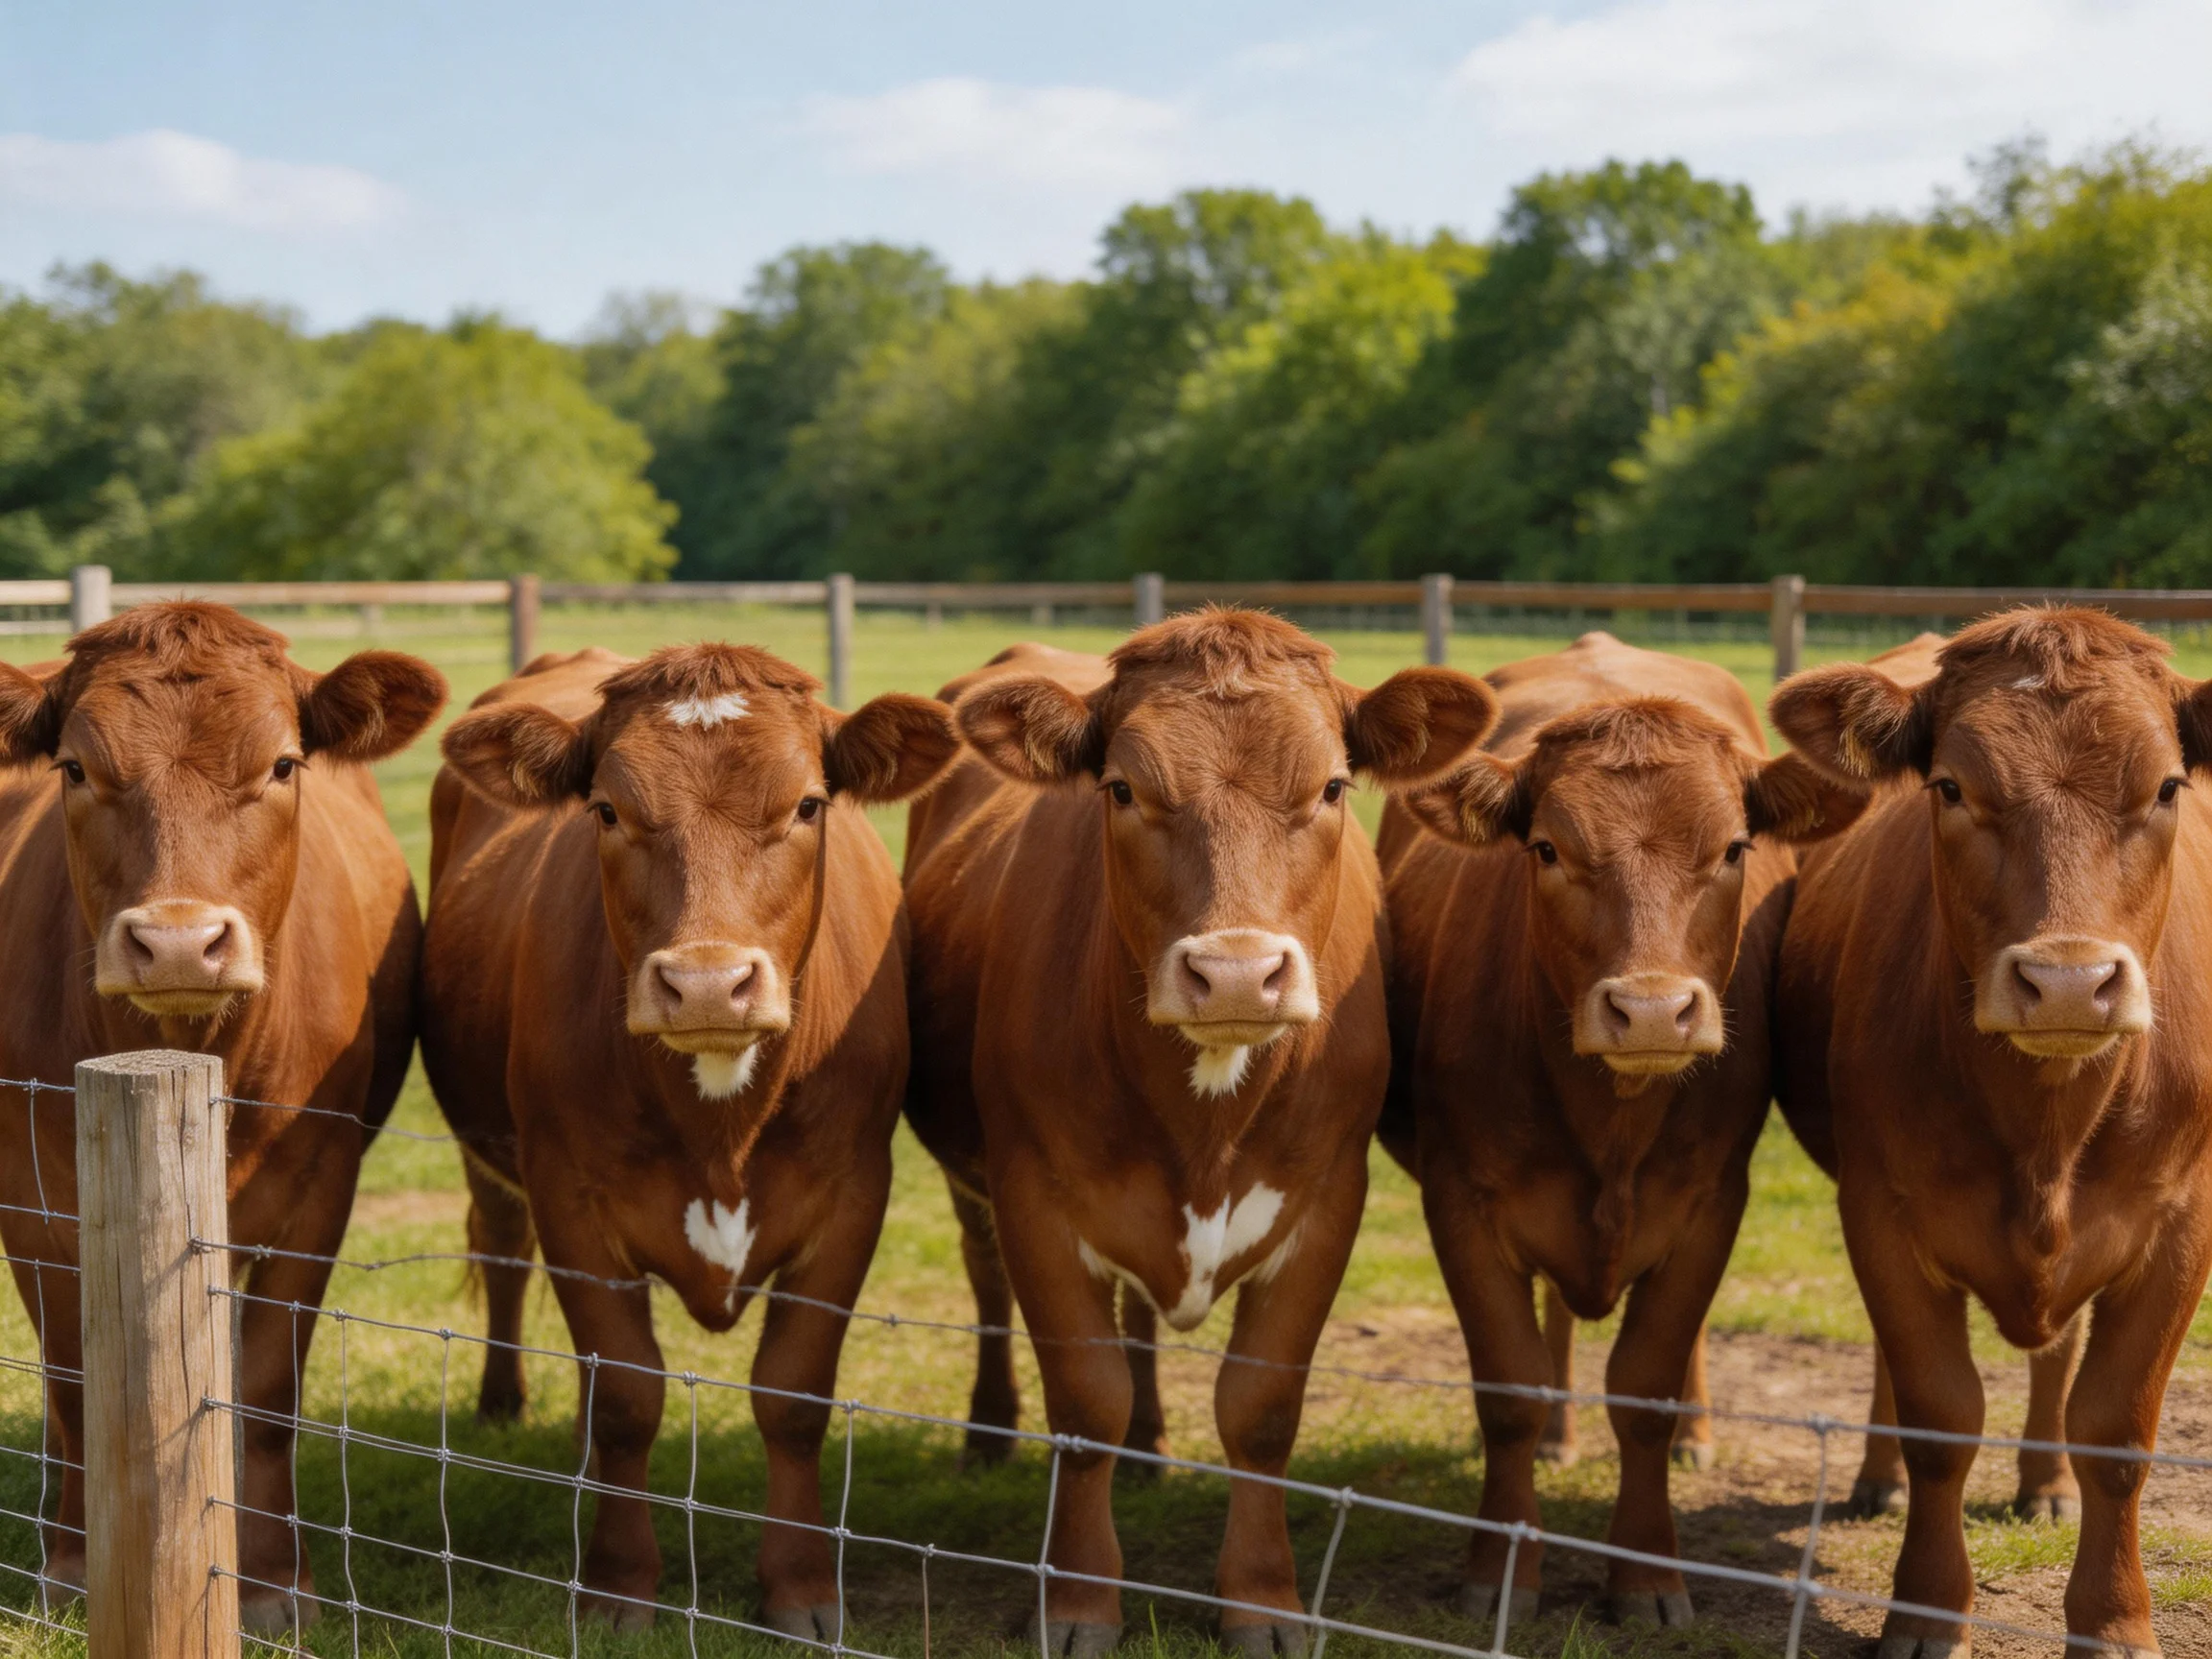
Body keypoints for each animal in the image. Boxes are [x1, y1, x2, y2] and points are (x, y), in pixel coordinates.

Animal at [0, 602, 445, 1631]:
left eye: (282, 765)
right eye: (74, 768)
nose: (176, 942)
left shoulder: (319, 1195)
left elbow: (271, 1385)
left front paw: (275, 1581)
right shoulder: (31, 1201)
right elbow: (74, 1382)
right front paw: (73, 1565)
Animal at [418, 643, 959, 1631]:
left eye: (808, 804)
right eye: (607, 809)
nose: (707, 983)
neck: (721, 1129)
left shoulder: (854, 1197)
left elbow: (793, 1394)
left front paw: (800, 1588)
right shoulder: (570, 1199)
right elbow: (628, 1393)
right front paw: (618, 1584)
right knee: (502, 1250)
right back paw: (505, 1403)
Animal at [902, 612, 1501, 1658]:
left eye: (1331, 786)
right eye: (1123, 789)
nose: (1234, 973)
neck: (1204, 1126)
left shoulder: (1327, 1201)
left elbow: (1258, 1409)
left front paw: (1263, 1604)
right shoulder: (1034, 1199)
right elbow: (1085, 1401)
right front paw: (1079, 1600)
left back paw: (1151, 1447)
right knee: (986, 1284)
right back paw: (988, 1433)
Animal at [1372, 632, 1864, 1630]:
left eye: (1734, 848)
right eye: (1548, 848)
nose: (1650, 1011)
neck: (1612, 1121)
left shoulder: (1711, 1203)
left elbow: (1646, 1387)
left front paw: (1646, 1575)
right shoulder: (1462, 1202)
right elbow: (1511, 1387)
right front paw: (1502, 1568)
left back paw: (1697, 1436)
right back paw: (1562, 1433)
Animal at [1771, 606, 2212, 1658]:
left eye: (2167, 786)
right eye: (1950, 787)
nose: (2068, 982)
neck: (2046, 1127)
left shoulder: (2182, 1224)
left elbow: (2116, 1430)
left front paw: (2115, 1621)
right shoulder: (1880, 1211)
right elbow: (1941, 1414)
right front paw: (1925, 1610)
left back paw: (2044, 1484)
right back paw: (1876, 1479)